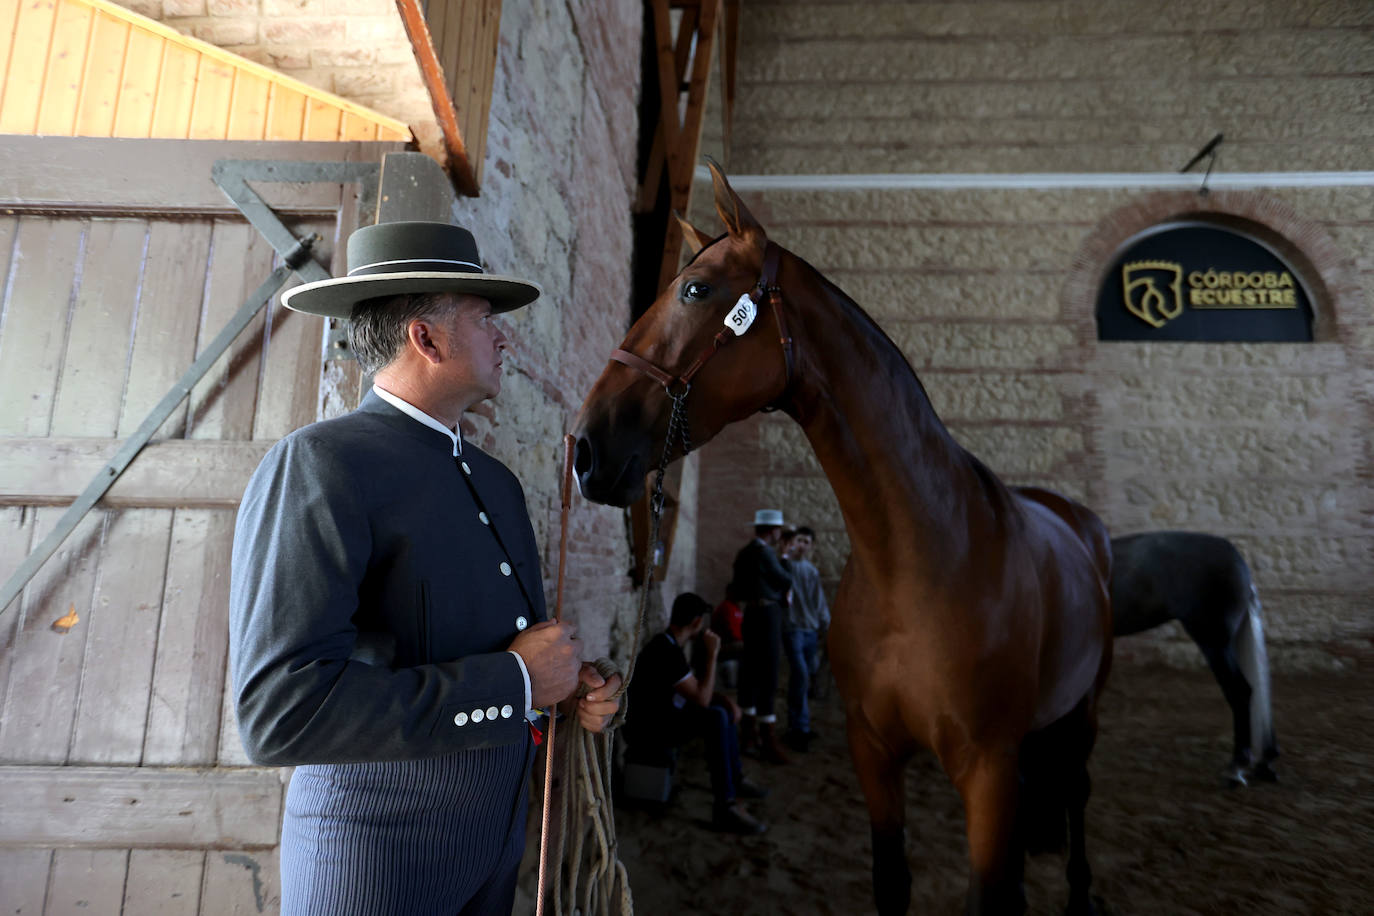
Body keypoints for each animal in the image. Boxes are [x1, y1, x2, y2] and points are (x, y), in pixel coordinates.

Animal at [571, 161, 1115, 911]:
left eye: (695, 289)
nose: (585, 447)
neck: (921, 562)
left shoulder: (989, 772)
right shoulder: (874, 755)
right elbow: (893, 883)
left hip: (1083, 713)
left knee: (1079, 791)